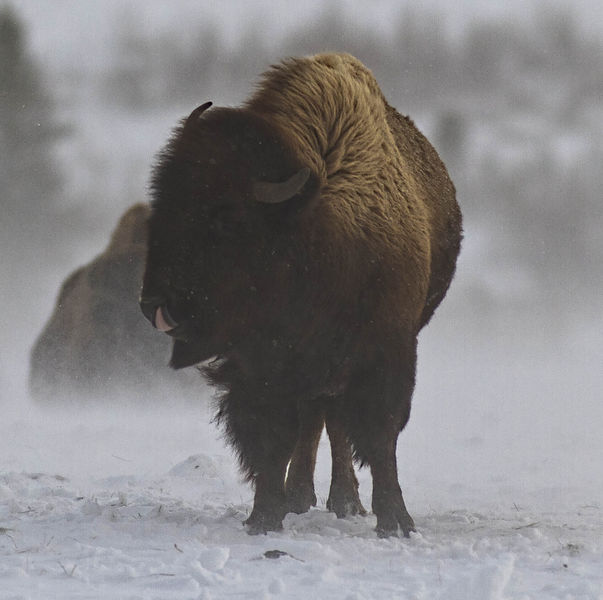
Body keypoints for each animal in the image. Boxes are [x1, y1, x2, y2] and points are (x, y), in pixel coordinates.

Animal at [140, 54, 462, 536]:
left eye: (226, 218)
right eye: (163, 204)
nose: (153, 305)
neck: (312, 229)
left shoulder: (386, 352)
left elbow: (380, 436)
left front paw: (397, 522)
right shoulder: (262, 365)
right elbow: (272, 436)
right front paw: (263, 516)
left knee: (333, 424)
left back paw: (344, 501)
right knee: (316, 422)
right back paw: (301, 497)